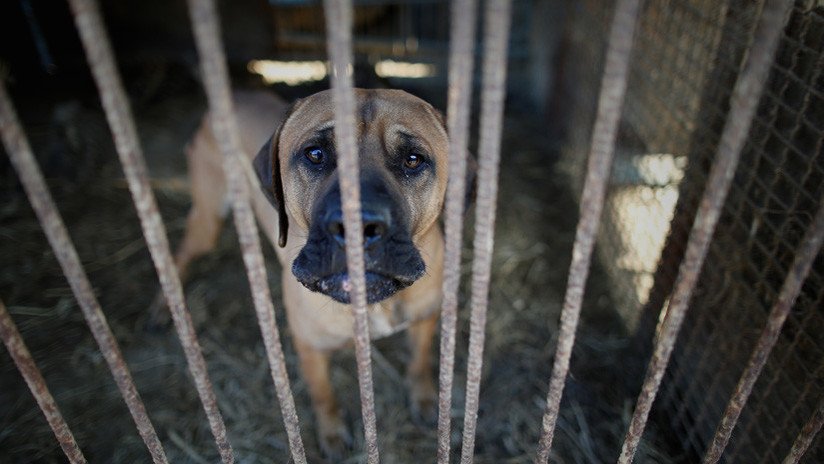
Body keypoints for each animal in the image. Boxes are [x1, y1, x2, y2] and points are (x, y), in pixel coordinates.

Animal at [161, 89, 470, 458]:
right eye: (316, 154)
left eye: (413, 159)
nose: (357, 226)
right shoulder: (310, 348)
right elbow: (323, 394)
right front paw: (332, 433)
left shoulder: (426, 318)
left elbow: (420, 363)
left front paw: (423, 399)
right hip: (208, 220)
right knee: (178, 255)